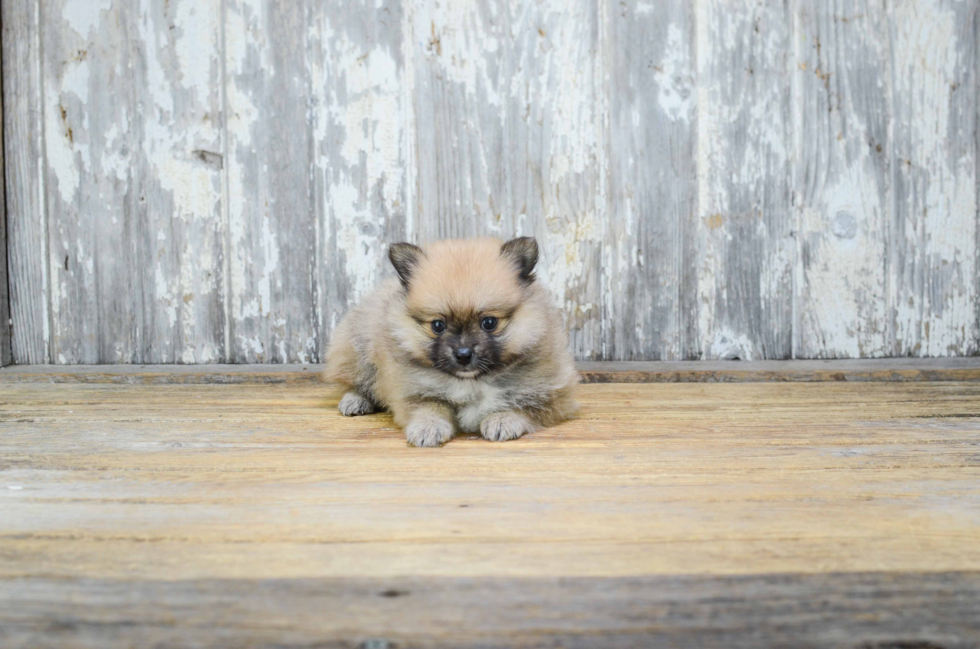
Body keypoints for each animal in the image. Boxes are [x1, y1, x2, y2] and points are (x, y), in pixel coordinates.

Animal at [326, 237, 580, 446]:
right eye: (438, 326)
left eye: (489, 323)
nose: (463, 354)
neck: (471, 382)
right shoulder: (412, 390)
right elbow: (430, 406)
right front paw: (428, 428)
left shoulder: (555, 395)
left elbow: (525, 408)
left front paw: (502, 420)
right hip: (359, 350)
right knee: (354, 382)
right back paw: (355, 401)